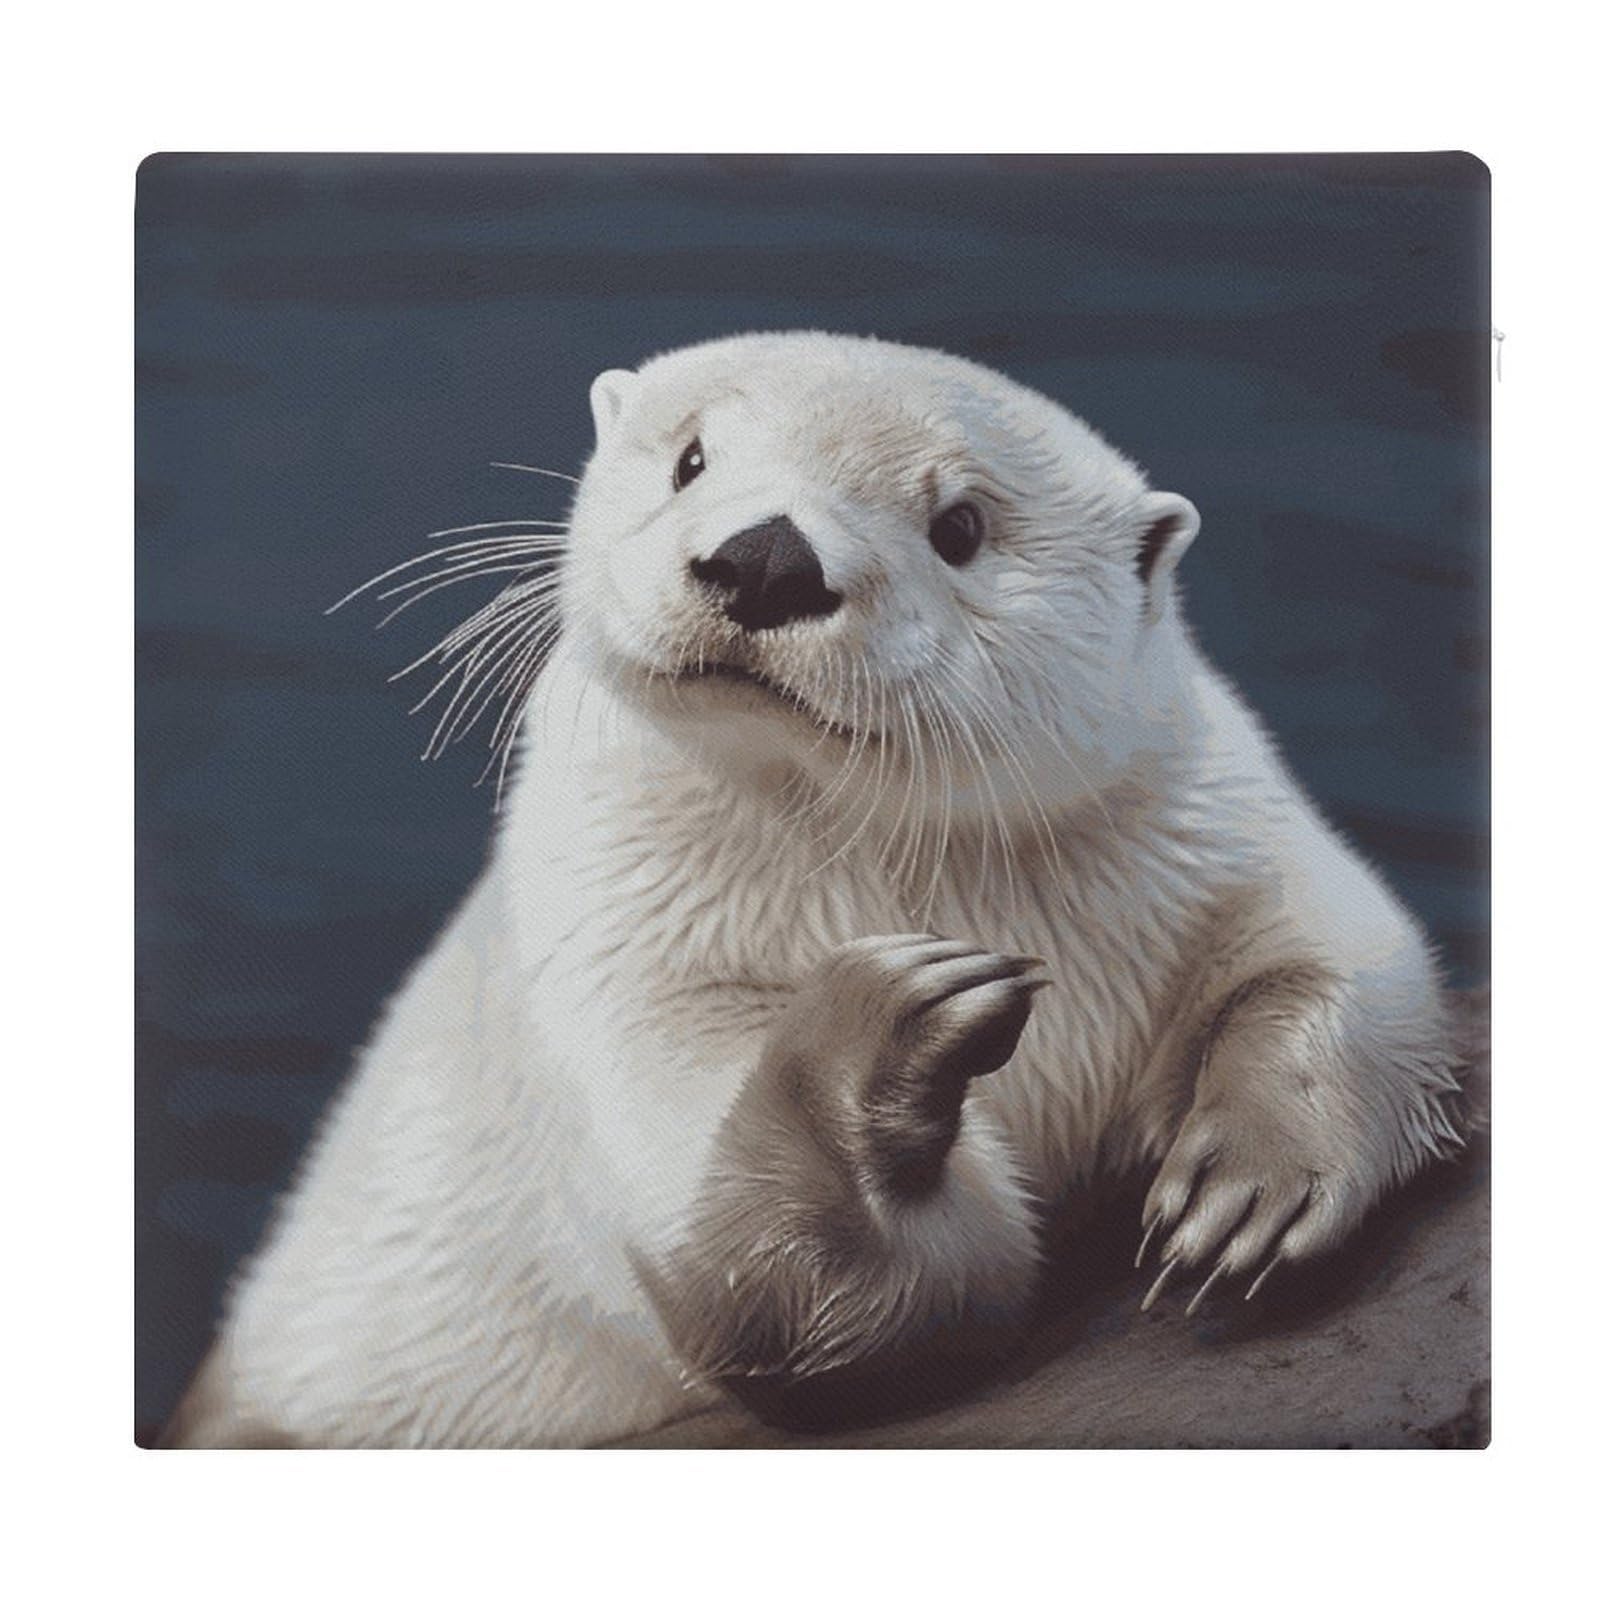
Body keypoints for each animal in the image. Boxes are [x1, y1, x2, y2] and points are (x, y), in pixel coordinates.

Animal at [165, 331, 1464, 1447]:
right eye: (692, 457)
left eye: (960, 524)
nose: (765, 553)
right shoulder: (621, 973)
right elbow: (827, 1289)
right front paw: (892, 1021)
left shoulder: (1209, 824)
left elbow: (1344, 963)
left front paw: (1251, 1185)